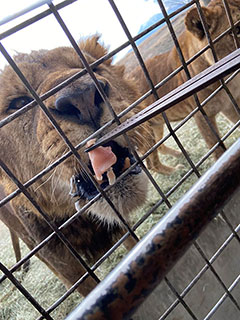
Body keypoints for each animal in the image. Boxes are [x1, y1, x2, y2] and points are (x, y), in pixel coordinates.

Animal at [129, 0, 240, 175]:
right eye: (238, 29)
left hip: (157, 126)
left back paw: (181, 154)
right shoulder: (201, 115)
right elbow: (217, 148)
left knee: (160, 147)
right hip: (145, 135)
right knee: (151, 164)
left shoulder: (230, 102)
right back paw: (175, 171)